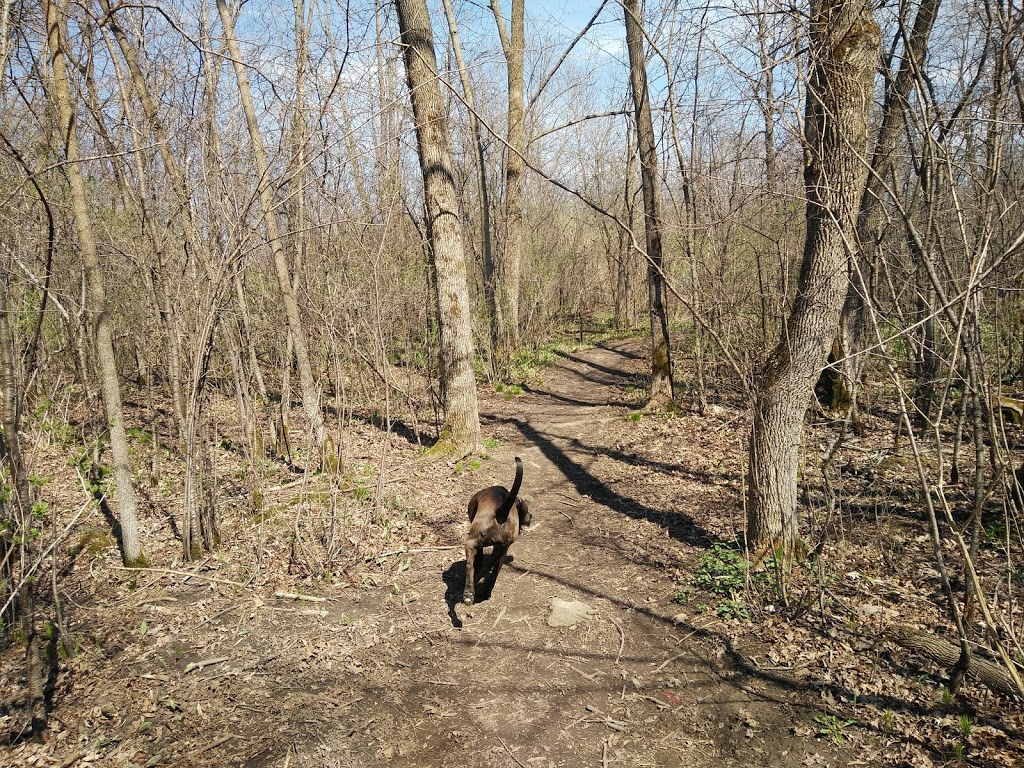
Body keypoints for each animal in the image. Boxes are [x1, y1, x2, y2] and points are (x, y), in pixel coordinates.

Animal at [462, 456, 532, 606]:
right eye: (527, 510)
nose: (531, 516)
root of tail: (501, 513)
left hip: (476, 543)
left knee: (472, 566)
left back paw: (469, 592)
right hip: (500, 548)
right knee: (490, 570)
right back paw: (480, 589)